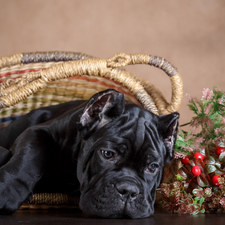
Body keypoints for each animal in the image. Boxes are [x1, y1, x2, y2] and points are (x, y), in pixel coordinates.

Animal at [0, 89, 179, 218]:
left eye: (152, 167)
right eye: (107, 154)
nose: (128, 191)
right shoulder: (37, 131)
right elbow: (30, 154)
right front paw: (9, 190)